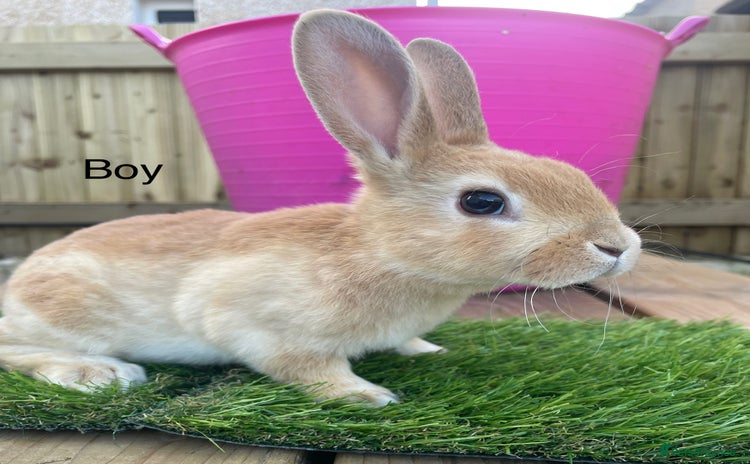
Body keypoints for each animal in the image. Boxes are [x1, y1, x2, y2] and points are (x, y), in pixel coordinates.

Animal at [0, 9, 641, 407]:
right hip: (65, 315)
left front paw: (424, 349)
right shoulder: (260, 325)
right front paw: (367, 395)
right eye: (482, 202)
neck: (380, 254)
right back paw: (96, 373)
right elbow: (307, 367)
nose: (619, 247)